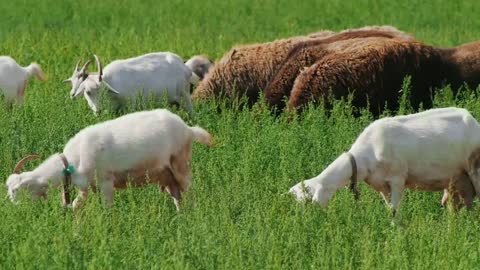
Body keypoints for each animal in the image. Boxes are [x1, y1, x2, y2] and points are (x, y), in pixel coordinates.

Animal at [5, 108, 212, 210]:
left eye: (15, 190)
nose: (14, 209)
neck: (71, 162)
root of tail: (188, 129)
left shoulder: (105, 183)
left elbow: (107, 210)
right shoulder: (86, 188)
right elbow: (76, 206)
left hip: (180, 163)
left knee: (190, 194)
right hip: (167, 175)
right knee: (178, 198)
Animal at [63, 53, 199, 115]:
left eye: (102, 90)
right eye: (87, 92)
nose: (98, 110)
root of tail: (185, 68)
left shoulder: (131, 105)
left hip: (185, 97)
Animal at [288, 107, 480, 215]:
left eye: (307, 202)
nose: (305, 225)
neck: (363, 157)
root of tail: (473, 120)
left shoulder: (397, 179)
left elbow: (394, 212)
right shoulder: (381, 185)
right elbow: (389, 210)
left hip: (475, 169)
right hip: (458, 181)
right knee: (460, 207)